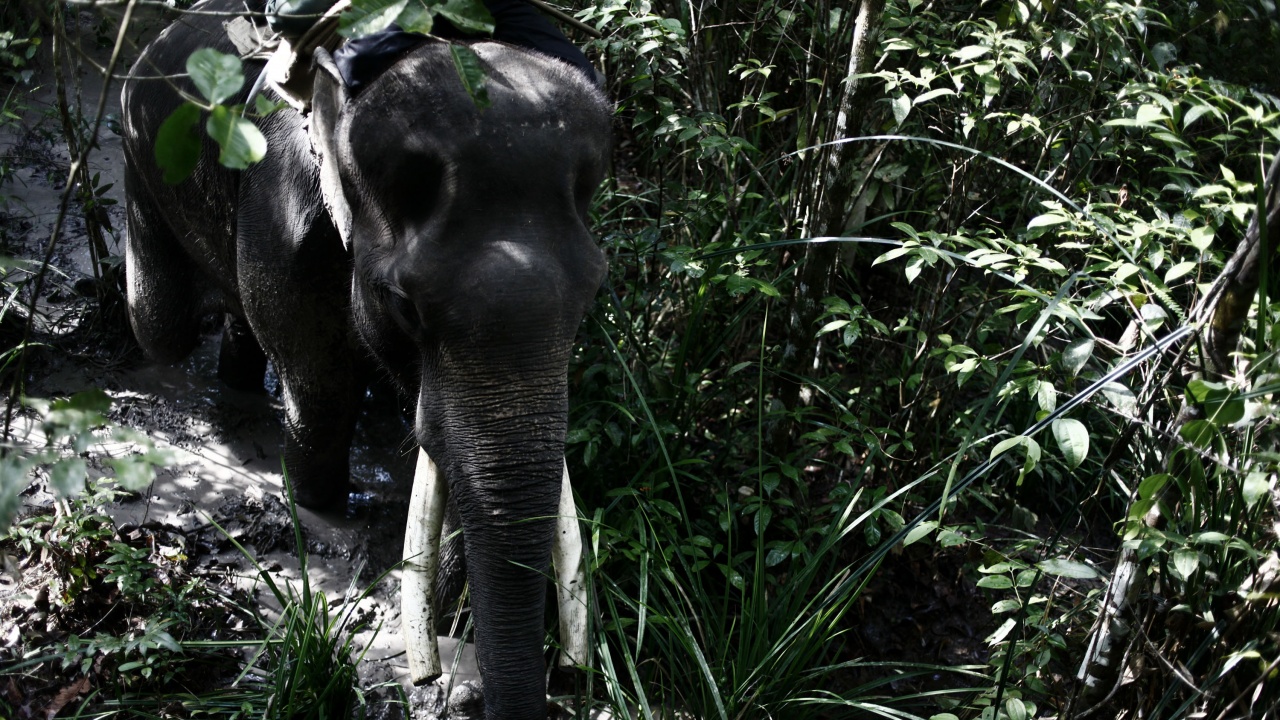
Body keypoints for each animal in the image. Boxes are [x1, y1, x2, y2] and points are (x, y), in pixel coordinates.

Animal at [122, 2, 611, 712]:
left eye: (594, 293)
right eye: (406, 307)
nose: (433, 677)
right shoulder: (282, 209)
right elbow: (323, 383)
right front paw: (315, 502)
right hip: (141, 158)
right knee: (161, 323)